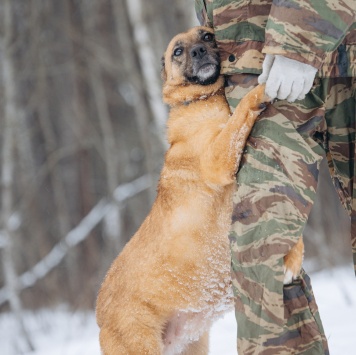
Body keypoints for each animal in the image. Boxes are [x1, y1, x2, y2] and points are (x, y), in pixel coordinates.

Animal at [94, 25, 298, 355]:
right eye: (178, 51)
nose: (199, 51)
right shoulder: (218, 159)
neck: (202, 99)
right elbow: (242, 110)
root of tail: (99, 317)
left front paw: (293, 260)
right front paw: (267, 85)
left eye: (206, 37)